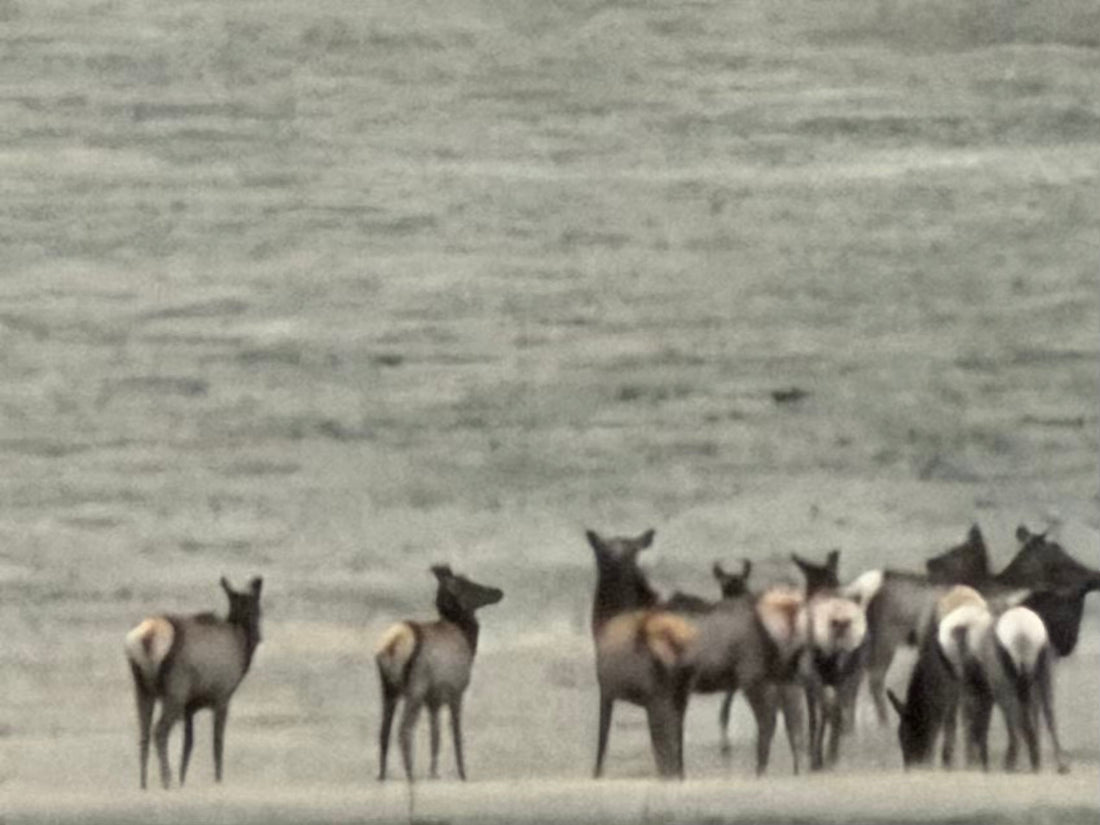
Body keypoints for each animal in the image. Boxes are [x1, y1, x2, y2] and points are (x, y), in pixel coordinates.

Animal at [124, 575, 264, 790]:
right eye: (258, 609)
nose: (259, 635)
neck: (241, 645)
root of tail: (148, 637)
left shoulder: (189, 707)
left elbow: (188, 744)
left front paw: (183, 780)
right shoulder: (222, 697)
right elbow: (217, 742)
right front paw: (218, 779)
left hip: (143, 689)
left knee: (144, 734)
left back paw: (144, 784)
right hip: (175, 692)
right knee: (160, 731)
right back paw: (166, 779)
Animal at [375, 564, 503, 782]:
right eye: (468, 584)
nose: (498, 592)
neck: (468, 640)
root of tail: (393, 644)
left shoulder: (433, 700)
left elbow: (436, 737)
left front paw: (434, 773)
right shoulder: (456, 691)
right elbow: (456, 734)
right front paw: (462, 774)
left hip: (388, 689)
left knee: (384, 731)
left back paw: (382, 775)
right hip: (415, 688)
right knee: (404, 730)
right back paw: (410, 774)